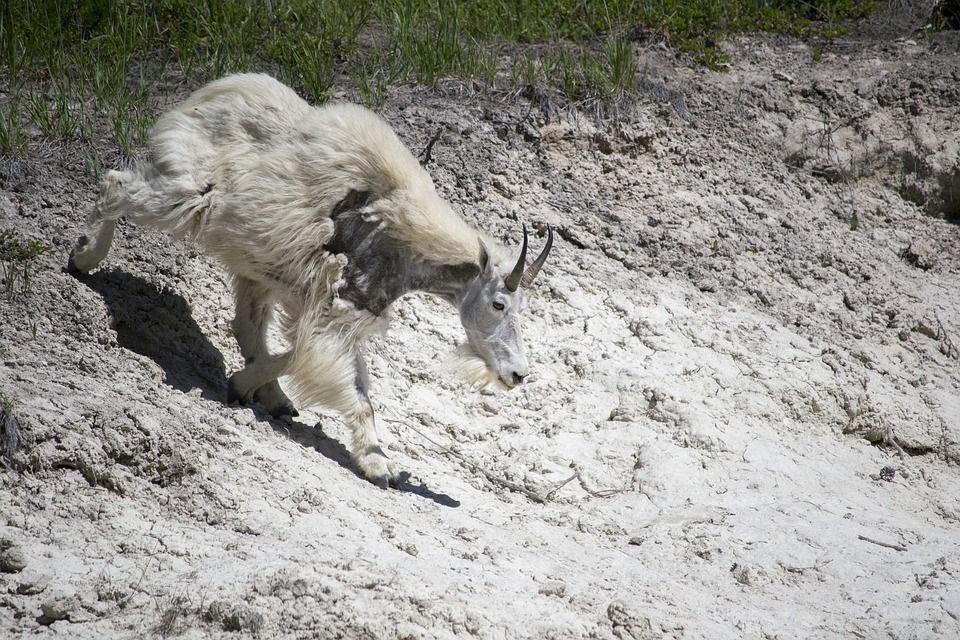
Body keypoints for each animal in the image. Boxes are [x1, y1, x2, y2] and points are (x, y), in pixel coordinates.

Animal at [67, 72, 552, 488]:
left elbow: (307, 356)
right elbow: (348, 383)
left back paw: (273, 398)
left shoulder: (330, 304)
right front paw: (380, 466)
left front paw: (246, 385)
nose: (517, 374)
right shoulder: (338, 305)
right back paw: (84, 256)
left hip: (254, 261)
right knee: (118, 184)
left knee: (246, 325)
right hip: (191, 195)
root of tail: (213, 92)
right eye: (498, 304)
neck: (404, 236)